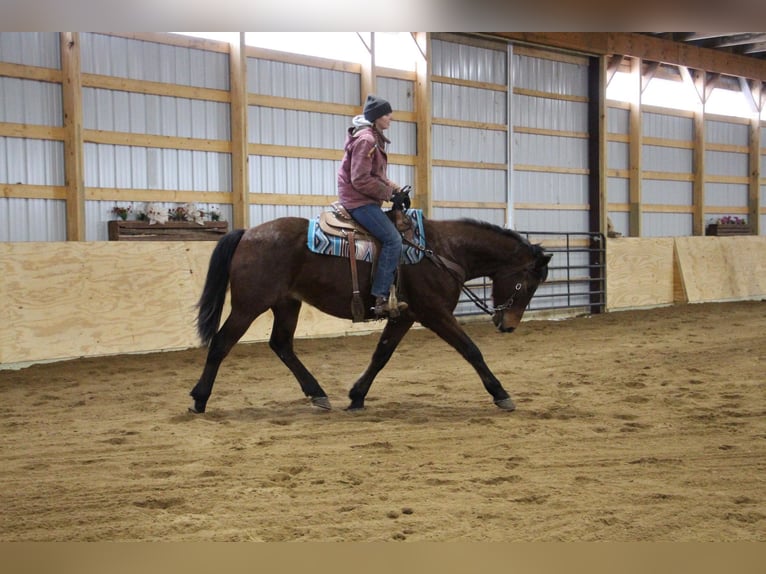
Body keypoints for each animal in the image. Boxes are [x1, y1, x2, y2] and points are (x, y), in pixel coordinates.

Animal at [190, 214, 552, 416]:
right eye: (528, 283)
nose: (508, 325)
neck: (441, 250)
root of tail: (247, 233)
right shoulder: (434, 313)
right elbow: (471, 350)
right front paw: (501, 394)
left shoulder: (404, 316)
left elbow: (382, 355)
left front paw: (356, 396)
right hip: (249, 305)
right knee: (221, 344)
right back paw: (199, 399)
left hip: (287, 303)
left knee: (281, 345)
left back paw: (318, 394)